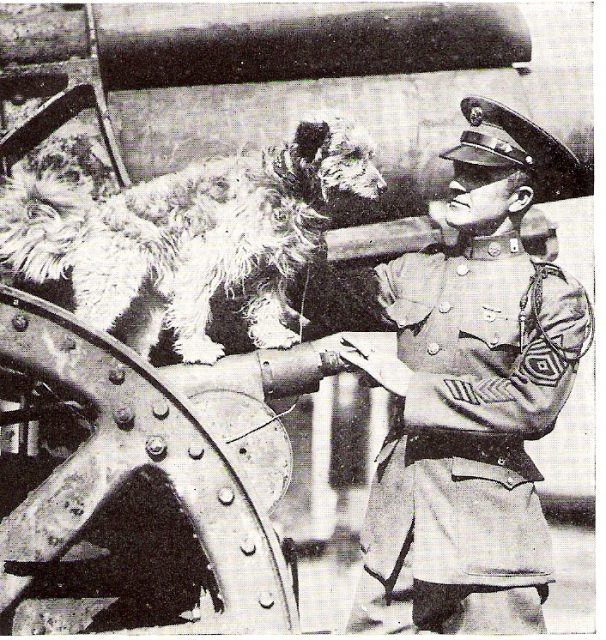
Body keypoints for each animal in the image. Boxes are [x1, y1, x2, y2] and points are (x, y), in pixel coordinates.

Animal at [0, 117, 388, 362]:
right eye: (352, 155)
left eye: (370, 155)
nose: (383, 188)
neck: (284, 183)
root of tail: (90, 221)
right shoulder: (202, 266)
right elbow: (194, 311)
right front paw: (198, 349)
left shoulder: (268, 271)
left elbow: (267, 308)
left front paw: (274, 337)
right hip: (110, 289)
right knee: (85, 330)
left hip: (147, 306)